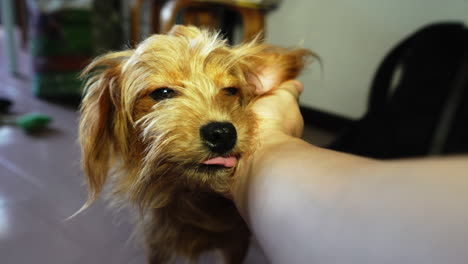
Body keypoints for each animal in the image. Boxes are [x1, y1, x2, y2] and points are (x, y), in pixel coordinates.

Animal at [79, 25, 312, 264]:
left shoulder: (236, 242)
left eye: (230, 90)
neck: (195, 198)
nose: (222, 133)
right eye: (163, 92)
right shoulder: (157, 243)